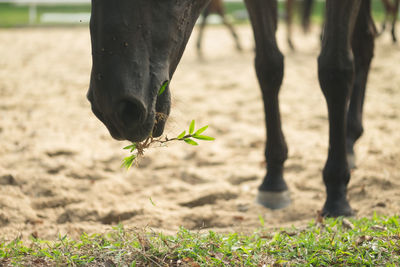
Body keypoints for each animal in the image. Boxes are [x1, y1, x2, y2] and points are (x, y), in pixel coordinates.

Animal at [87, 0, 376, 218]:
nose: (112, 108)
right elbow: (269, 66)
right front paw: (273, 179)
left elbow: (335, 70)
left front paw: (337, 194)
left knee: (362, 44)